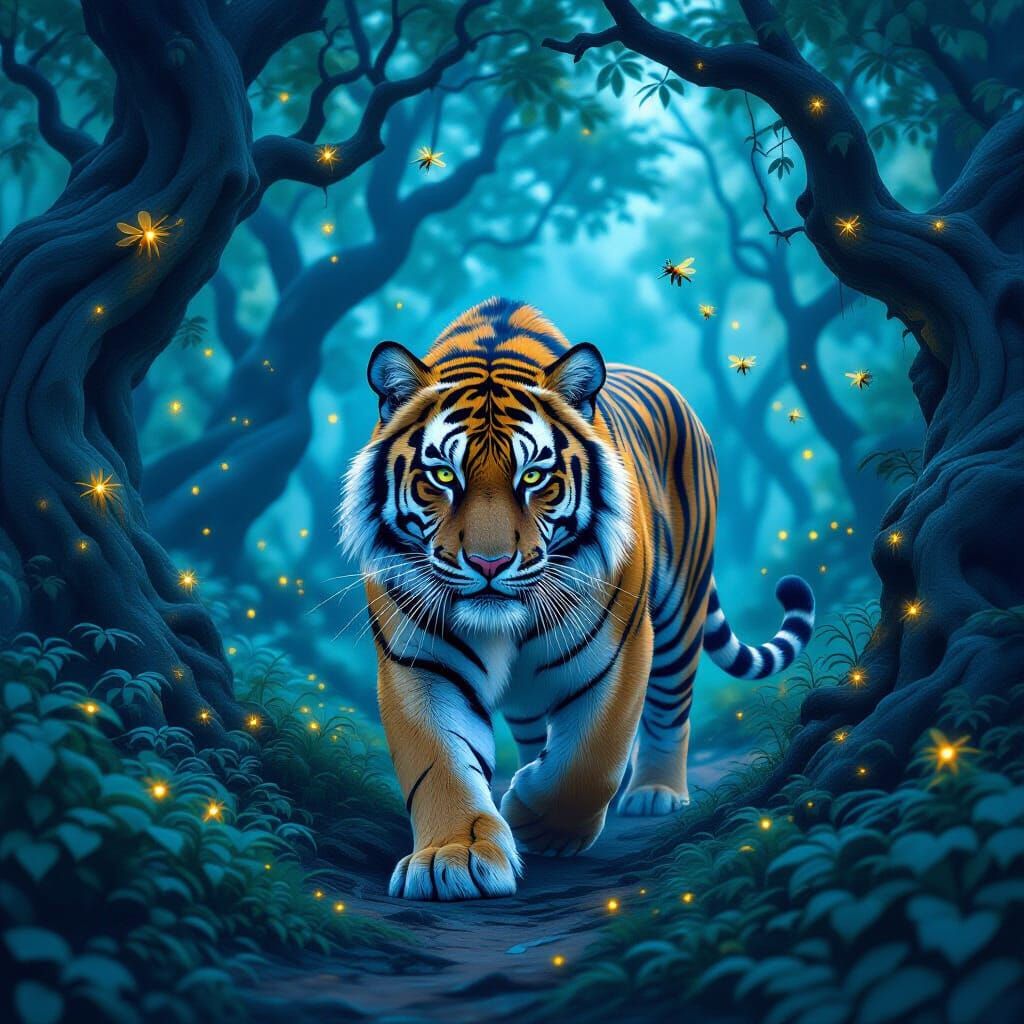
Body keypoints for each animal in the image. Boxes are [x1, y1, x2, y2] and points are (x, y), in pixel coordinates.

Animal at [340, 297, 815, 901]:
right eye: (443, 475)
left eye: (534, 477)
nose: (490, 564)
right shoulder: (421, 661)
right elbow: (439, 761)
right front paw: (452, 856)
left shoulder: (620, 647)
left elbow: (590, 759)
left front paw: (544, 824)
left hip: (680, 612)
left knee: (669, 708)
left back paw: (655, 793)